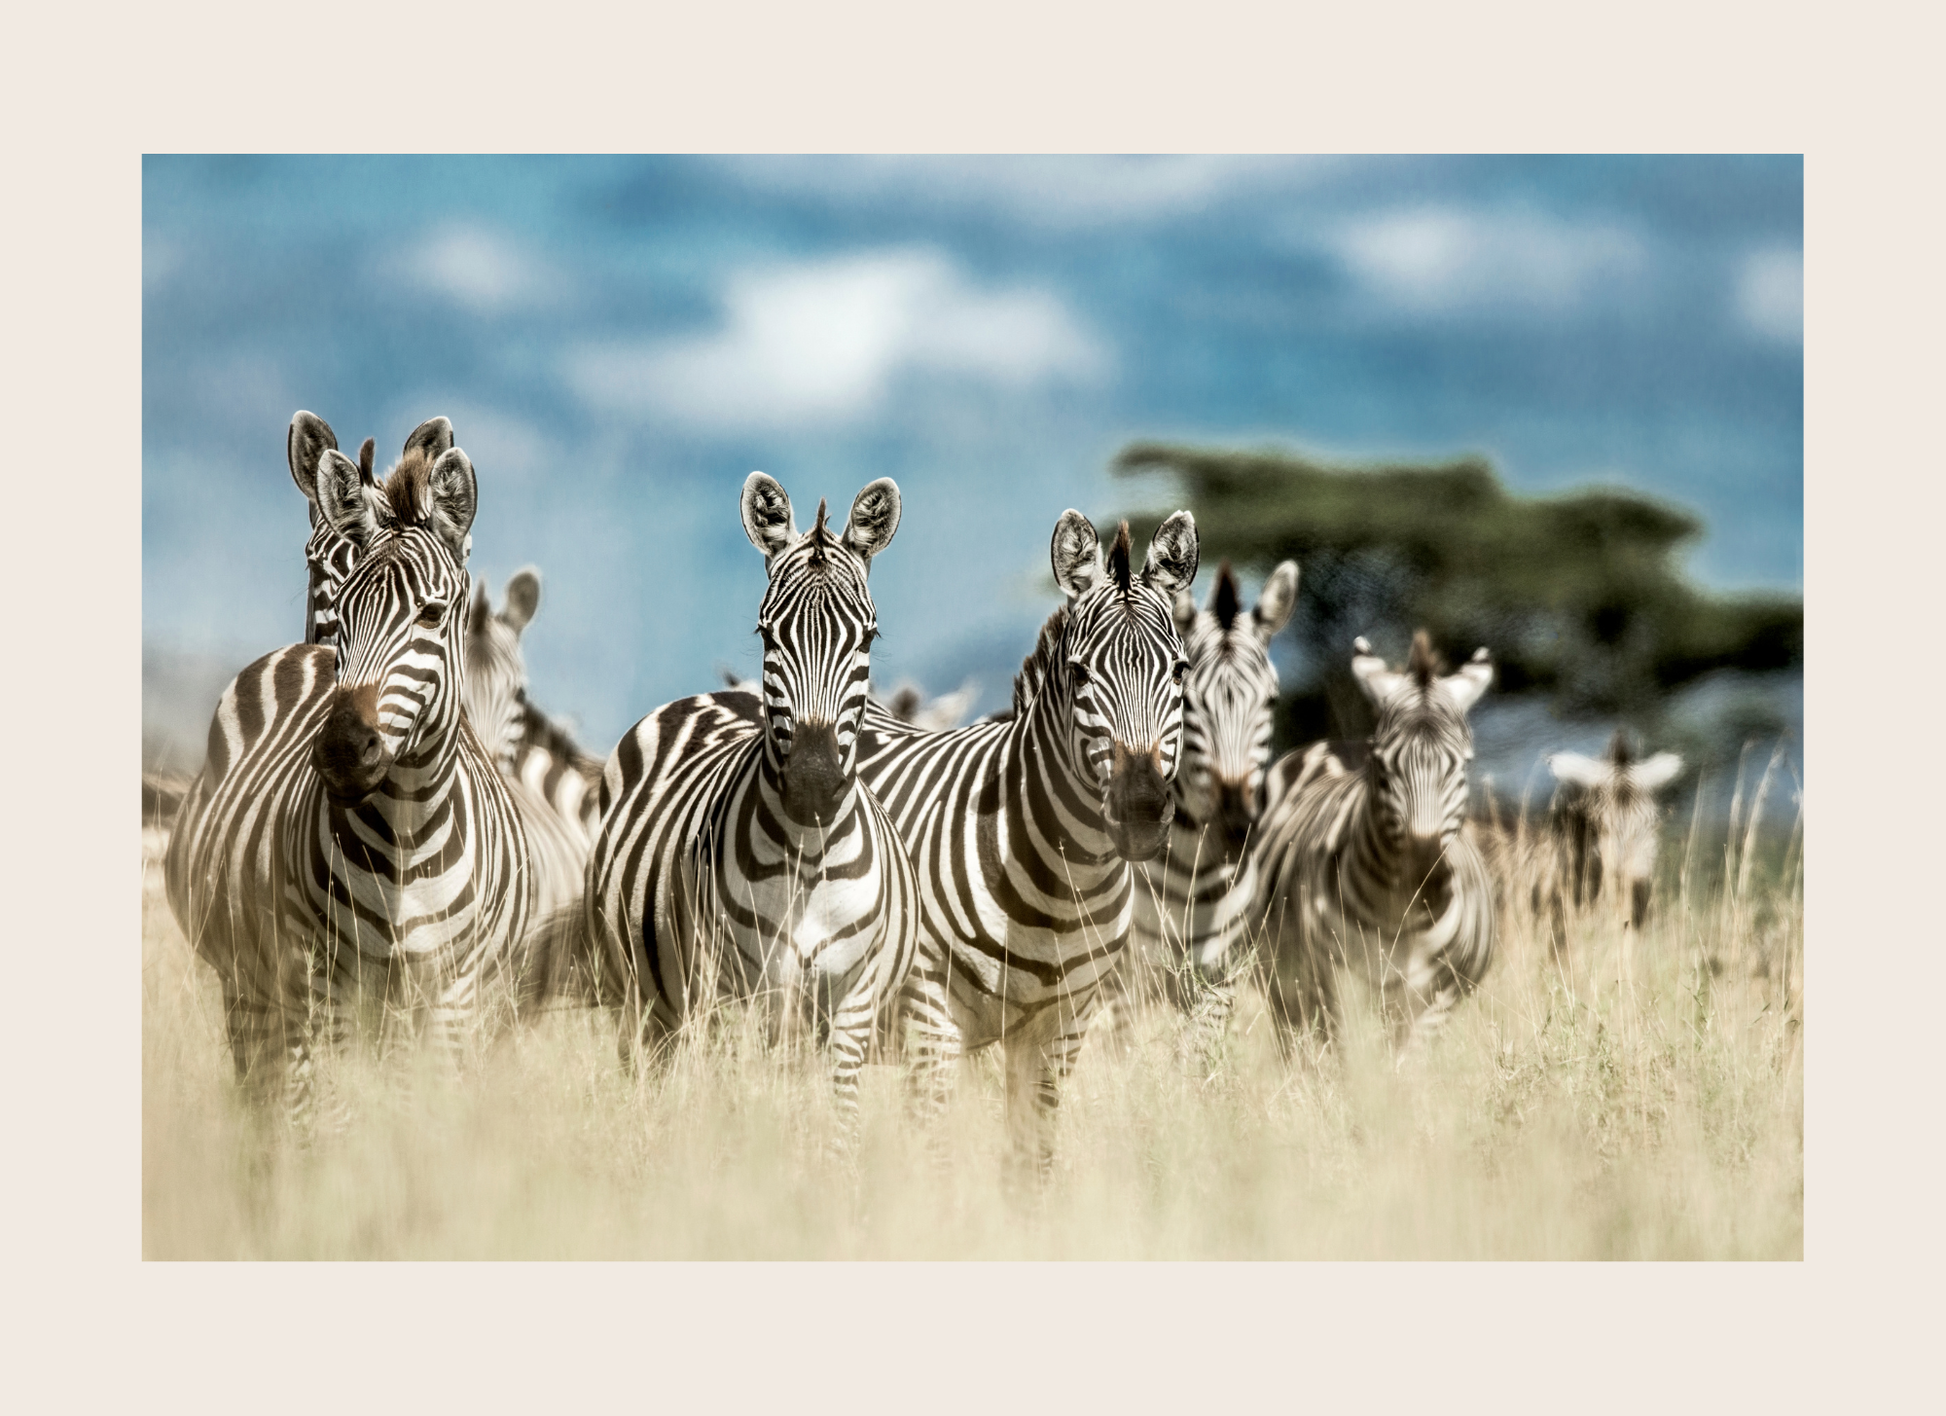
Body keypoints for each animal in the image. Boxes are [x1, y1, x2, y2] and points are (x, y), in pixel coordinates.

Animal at [165, 422, 544, 1130]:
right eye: (334, 592)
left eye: (431, 614)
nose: (342, 749)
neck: (407, 835)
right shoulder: (326, 987)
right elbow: (334, 1120)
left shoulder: (454, 996)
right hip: (251, 984)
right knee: (271, 1097)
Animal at [583, 474, 918, 1133]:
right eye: (768, 634)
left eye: (868, 637)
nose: (813, 782)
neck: (809, 859)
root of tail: (717, 693)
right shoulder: (739, 998)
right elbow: (747, 1117)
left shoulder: (850, 1004)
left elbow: (837, 1125)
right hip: (641, 1002)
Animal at [855, 510, 1199, 1180]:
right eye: (1081, 673)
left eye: (1179, 671)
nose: (1141, 811)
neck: (1064, 884)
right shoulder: (932, 1023)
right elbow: (935, 1159)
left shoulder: (1061, 1030)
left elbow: (1030, 1161)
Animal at [1108, 558, 1298, 1062]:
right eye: (1189, 702)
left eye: (1271, 700)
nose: (1234, 824)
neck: (1195, 868)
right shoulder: (1124, 981)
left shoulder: (1217, 979)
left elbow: (1196, 1060)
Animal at [1253, 631, 1497, 1055]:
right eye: (1382, 764)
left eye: (1463, 764)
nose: (1424, 874)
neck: (1400, 917)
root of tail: (1336, 744)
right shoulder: (1337, 988)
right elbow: (1357, 1064)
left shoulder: (1436, 999)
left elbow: (1406, 1064)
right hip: (1287, 985)